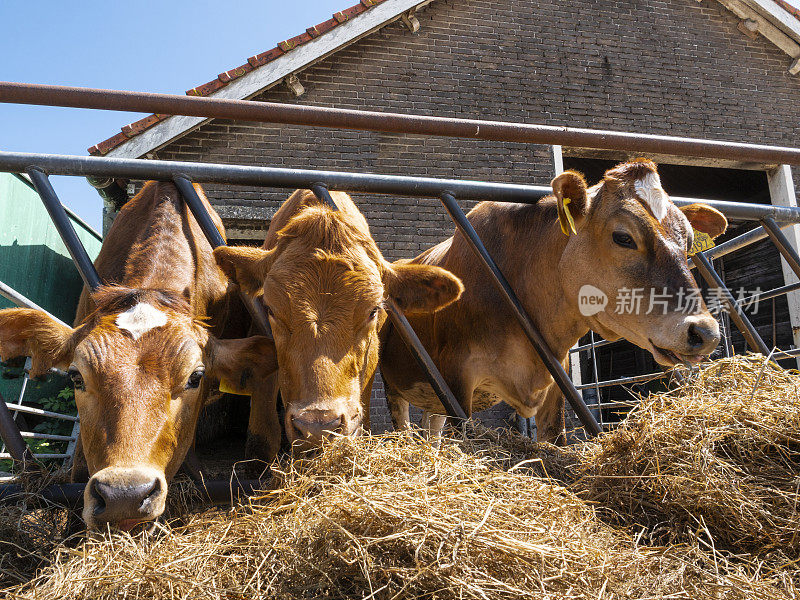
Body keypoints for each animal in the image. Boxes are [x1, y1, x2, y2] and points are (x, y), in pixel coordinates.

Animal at [382, 158, 732, 440]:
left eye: (688, 241)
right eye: (623, 237)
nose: (705, 332)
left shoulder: (555, 382)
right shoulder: (455, 380)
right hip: (395, 384)